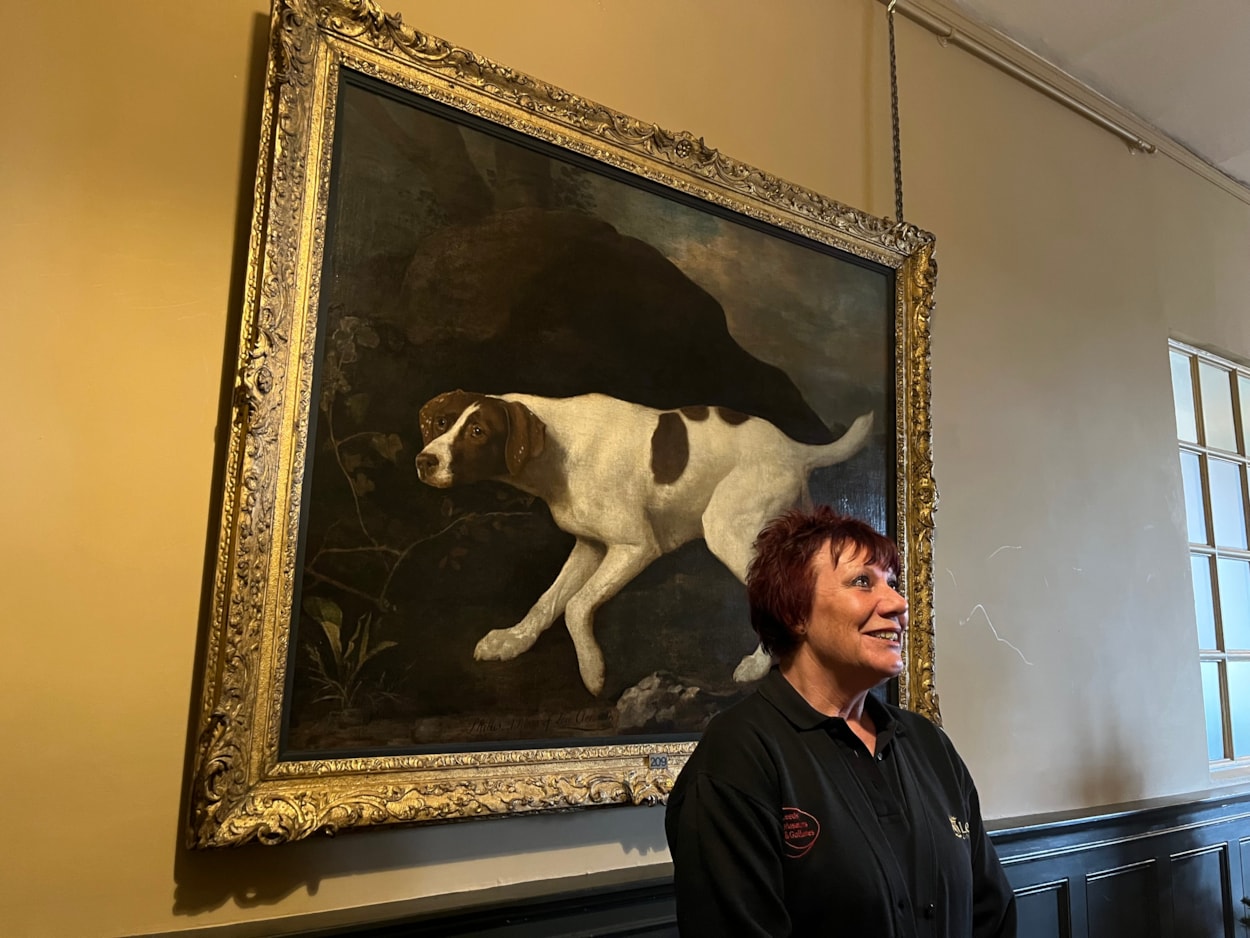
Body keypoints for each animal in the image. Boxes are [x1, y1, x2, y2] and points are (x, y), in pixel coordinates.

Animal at [415, 390, 875, 700]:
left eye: (478, 432)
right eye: (441, 424)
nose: (424, 461)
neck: (560, 450)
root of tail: (795, 450)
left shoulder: (634, 548)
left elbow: (576, 607)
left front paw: (592, 671)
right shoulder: (590, 546)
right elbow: (548, 601)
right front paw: (513, 641)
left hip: (727, 531)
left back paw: (758, 666)